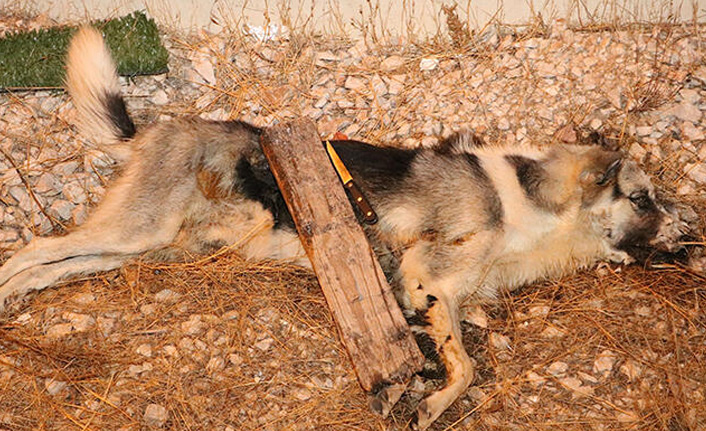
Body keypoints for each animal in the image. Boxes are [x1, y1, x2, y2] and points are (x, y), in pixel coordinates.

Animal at [0, 28, 688, 430]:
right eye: (642, 199)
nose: (687, 241)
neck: (530, 207)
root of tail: (153, 128)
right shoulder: (429, 273)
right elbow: (465, 367)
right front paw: (433, 402)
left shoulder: (436, 292)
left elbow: (455, 339)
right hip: (136, 230)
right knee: (34, 248)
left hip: (141, 247)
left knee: (55, 264)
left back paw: (19, 295)